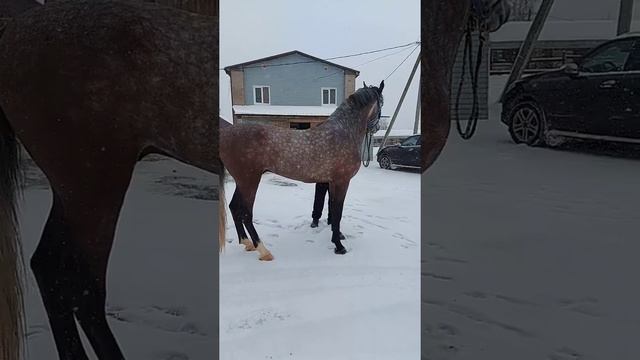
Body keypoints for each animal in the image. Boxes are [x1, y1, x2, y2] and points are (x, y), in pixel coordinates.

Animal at [220, 81, 382, 258]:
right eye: (381, 102)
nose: (377, 127)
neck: (344, 131)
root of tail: (225, 134)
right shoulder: (342, 181)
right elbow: (337, 211)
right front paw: (339, 246)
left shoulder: (332, 182)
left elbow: (333, 210)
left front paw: (338, 236)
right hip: (249, 181)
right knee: (246, 213)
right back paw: (263, 251)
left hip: (242, 182)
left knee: (234, 207)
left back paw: (247, 243)